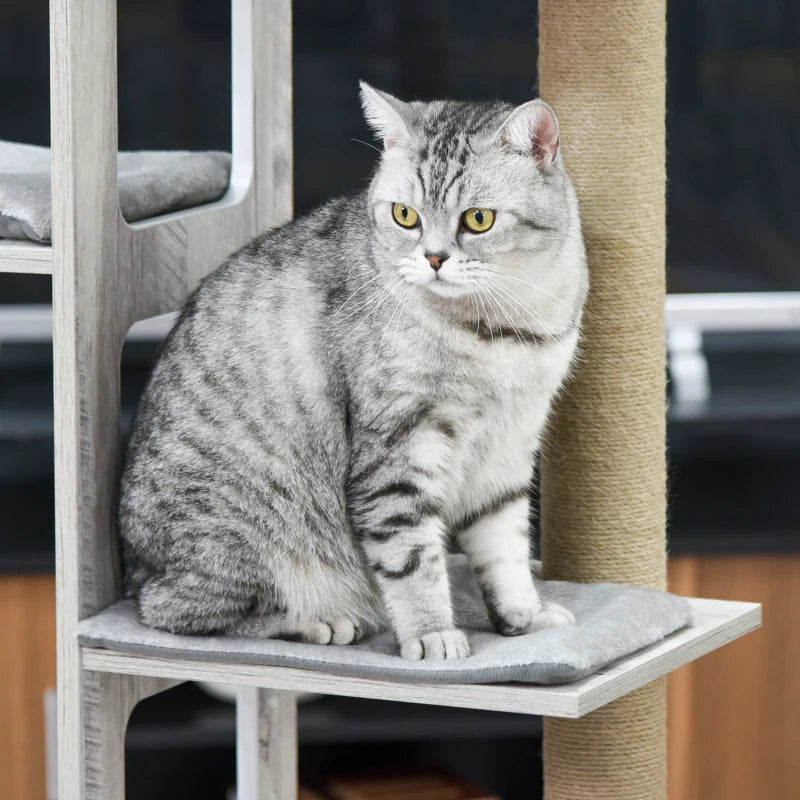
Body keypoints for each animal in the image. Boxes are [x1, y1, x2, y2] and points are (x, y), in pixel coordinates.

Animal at [122, 84, 592, 664]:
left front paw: (524, 615)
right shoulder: (398, 449)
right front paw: (432, 634)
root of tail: (133, 571)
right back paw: (321, 621)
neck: (502, 330)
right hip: (237, 537)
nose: (434, 258)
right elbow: (412, 559)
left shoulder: (510, 445)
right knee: (179, 614)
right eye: (405, 215)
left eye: (479, 219)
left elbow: (505, 547)